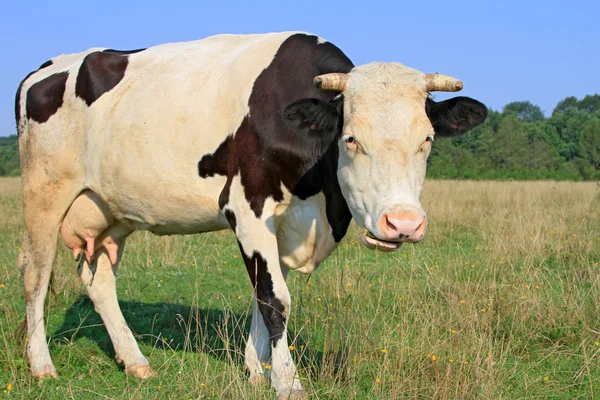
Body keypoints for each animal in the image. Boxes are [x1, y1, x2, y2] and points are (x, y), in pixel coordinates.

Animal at [16, 32, 488, 400]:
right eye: (352, 139)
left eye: (426, 139)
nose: (403, 224)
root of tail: (47, 67)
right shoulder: (247, 206)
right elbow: (275, 299)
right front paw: (287, 381)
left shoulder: (282, 224)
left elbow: (264, 294)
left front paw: (255, 370)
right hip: (43, 193)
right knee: (36, 273)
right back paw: (42, 366)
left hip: (109, 209)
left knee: (98, 280)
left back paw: (136, 363)